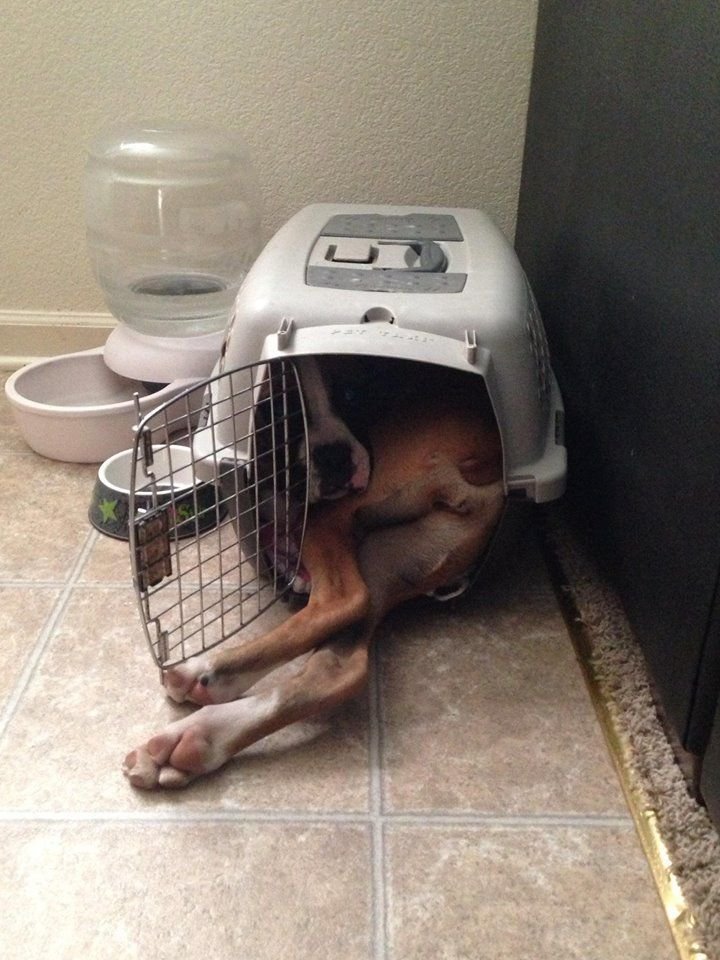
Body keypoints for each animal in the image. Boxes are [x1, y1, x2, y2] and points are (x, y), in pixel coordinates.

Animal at [124, 354, 504, 788]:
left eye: (352, 394)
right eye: (282, 411)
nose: (335, 457)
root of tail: (482, 470)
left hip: (334, 519)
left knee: (342, 600)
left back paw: (202, 681)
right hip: (393, 560)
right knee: (341, 663)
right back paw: (204, 729)